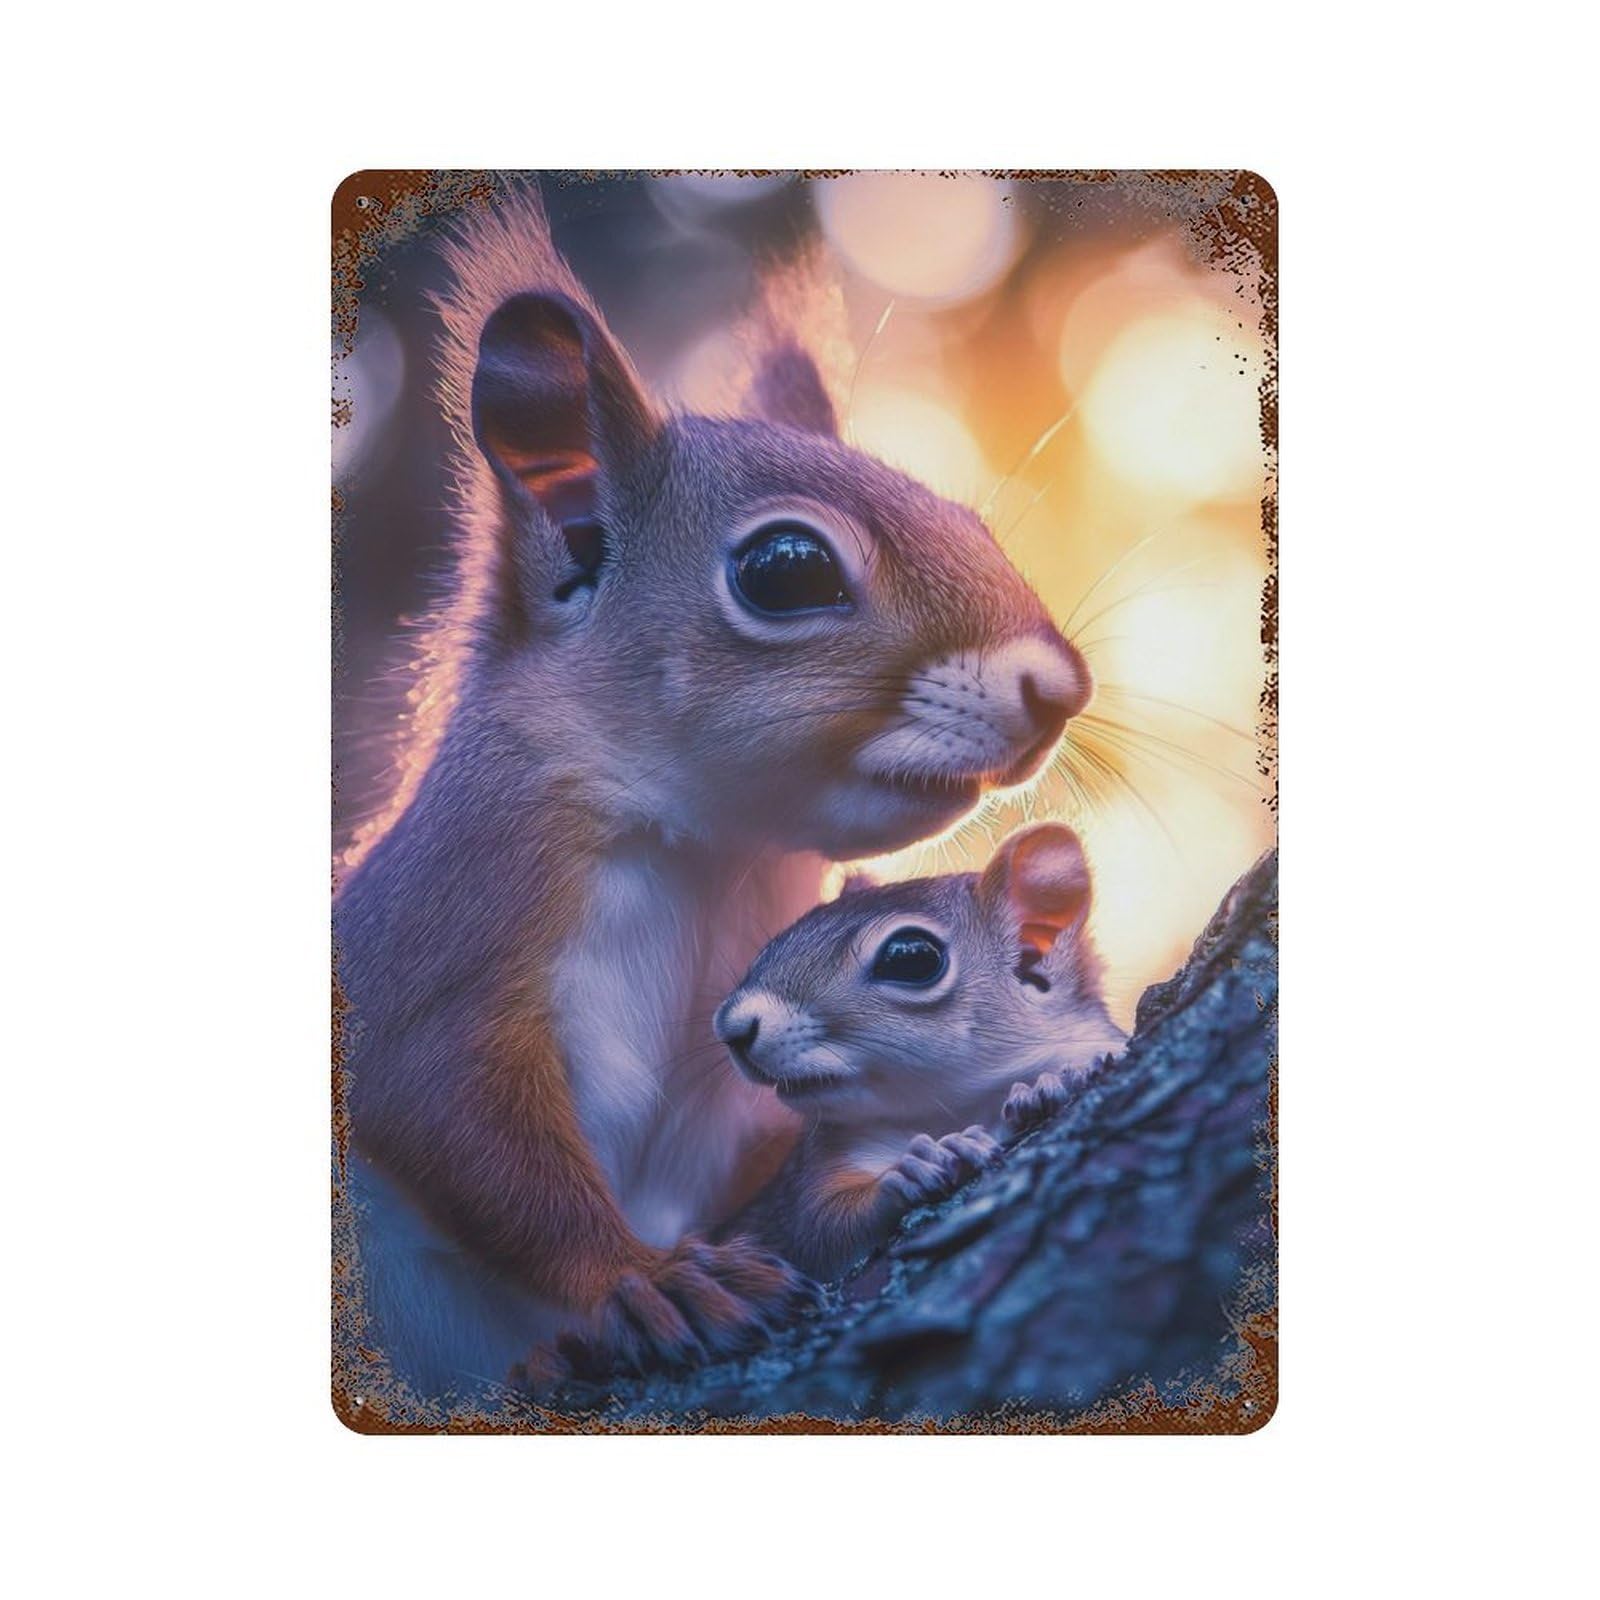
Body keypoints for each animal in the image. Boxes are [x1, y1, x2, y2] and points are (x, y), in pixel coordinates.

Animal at [712, 824, 1126, 1281]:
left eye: (911, 958)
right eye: (777, 940)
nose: (731, 1028)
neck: (955, 1108)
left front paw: (1051, 1084)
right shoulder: (819, 1169)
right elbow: (822, 1231)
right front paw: (918, 1167)